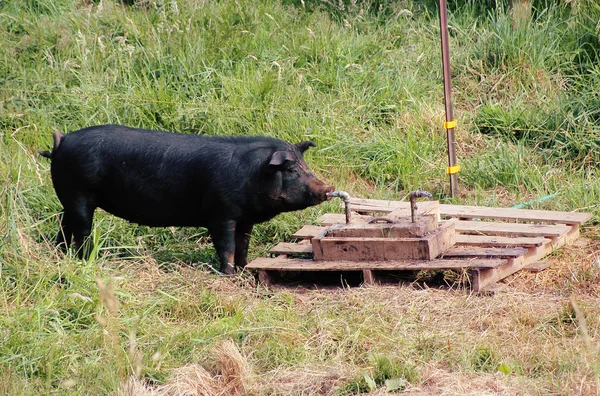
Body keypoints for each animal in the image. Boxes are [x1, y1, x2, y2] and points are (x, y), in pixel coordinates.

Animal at [39, 125, 336, 274]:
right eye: (291, 169)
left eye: (305, 166)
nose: (328, 187)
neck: (252, 175)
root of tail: (61, 142)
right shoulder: (221, 213)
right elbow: (226, 245)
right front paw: (228, 274)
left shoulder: (245, 218)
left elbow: (243, 245)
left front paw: (244, 269)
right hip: (79, 195)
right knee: (82, 230)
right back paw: (86, 259)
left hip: (68, 199)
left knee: (64, 226)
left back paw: (61, 254)